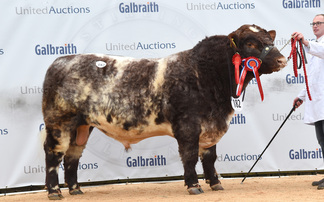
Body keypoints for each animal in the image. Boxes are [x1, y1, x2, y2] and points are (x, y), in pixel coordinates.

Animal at [41, 24, 288, 200]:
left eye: (271, 40)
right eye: (250, 43)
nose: (282, 59)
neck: (207, 75)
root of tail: (61, 61)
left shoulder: (210, 127)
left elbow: (209, 157)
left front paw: (216, 183)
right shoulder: (188, 126)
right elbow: (190, 155)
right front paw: (194, 185)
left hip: (82, 125)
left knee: (73, 155)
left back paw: (75, 189)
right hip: (59, 122)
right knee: (54, 153)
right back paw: (55, 191)